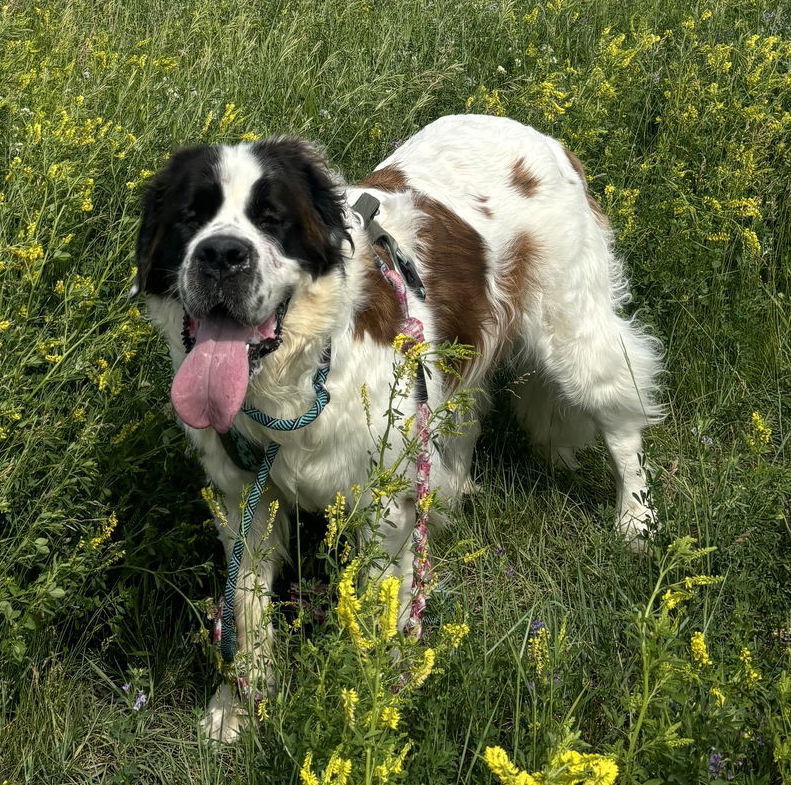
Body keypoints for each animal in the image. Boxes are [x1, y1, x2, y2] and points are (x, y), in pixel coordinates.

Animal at [135, 113, 664, 740]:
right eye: (190, 217)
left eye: (272, 219)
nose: (221, 254)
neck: (301, 373)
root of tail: (538, 135)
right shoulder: (245, 496)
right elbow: (247, 604)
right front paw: (239, 705)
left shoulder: (380, 505)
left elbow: (377, 608)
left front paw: (371, 702)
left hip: (573, 336)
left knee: (622, 420)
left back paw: (635, 519)